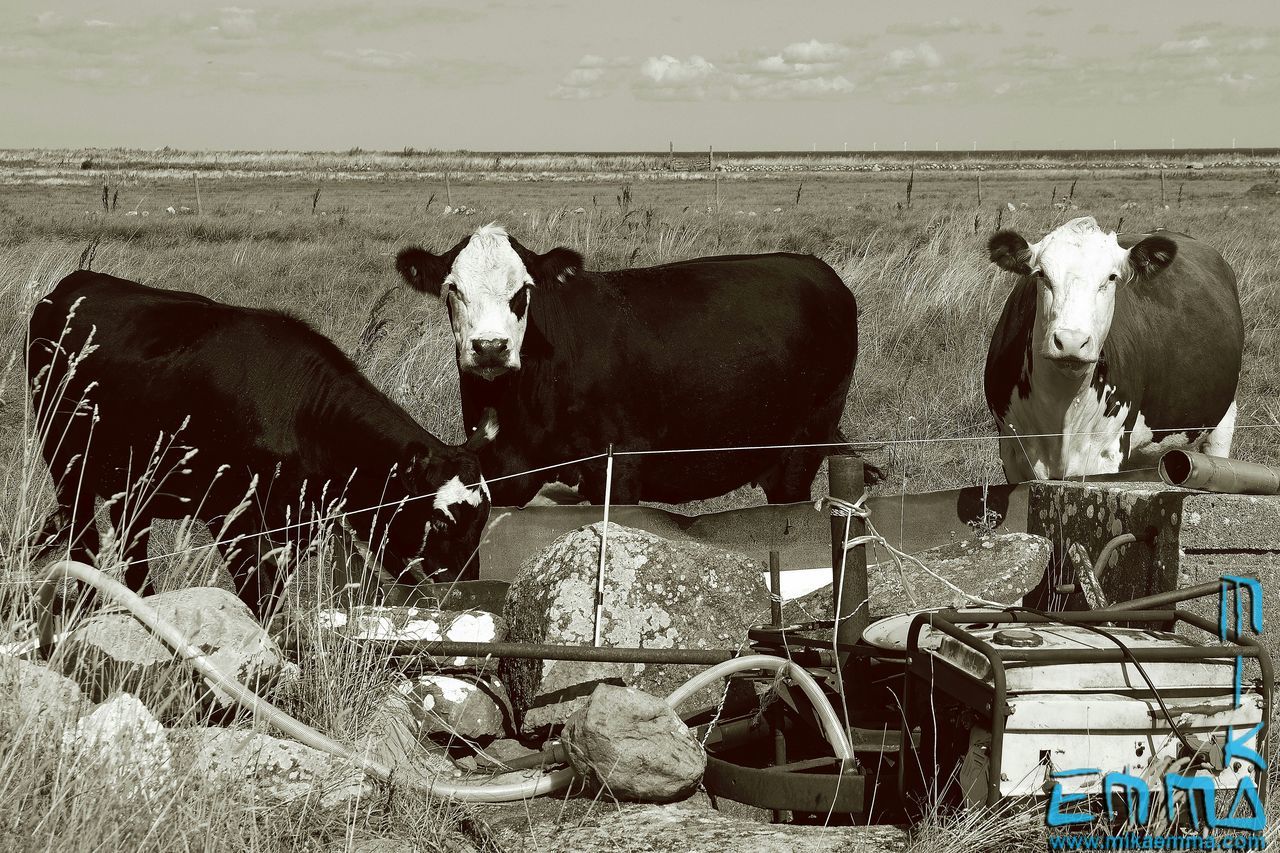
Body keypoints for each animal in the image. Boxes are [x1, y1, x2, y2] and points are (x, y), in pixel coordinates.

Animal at [30, 270, 491, 612]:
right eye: (438, 521)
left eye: (482, 521)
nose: (463, 590)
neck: (303, 417)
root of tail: (76, 282)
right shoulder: (231, 516)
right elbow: (258, 594)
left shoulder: (296, 525)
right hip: (66, 462)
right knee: (83, 539)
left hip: (131, 483)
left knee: (131, 545)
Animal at [394, 222, 865, 507]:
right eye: (452, 289)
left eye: (524, 290)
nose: (490, 347)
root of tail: (816, 268)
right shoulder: (502, 472)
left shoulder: (618, 468)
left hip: (805, 444)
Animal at [983, 216, 1244, 481]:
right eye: (1041, 274)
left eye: (1111, 277)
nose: (1071, 341)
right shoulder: (1012, 452)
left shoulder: (1106, 454)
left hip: (1223, 418)